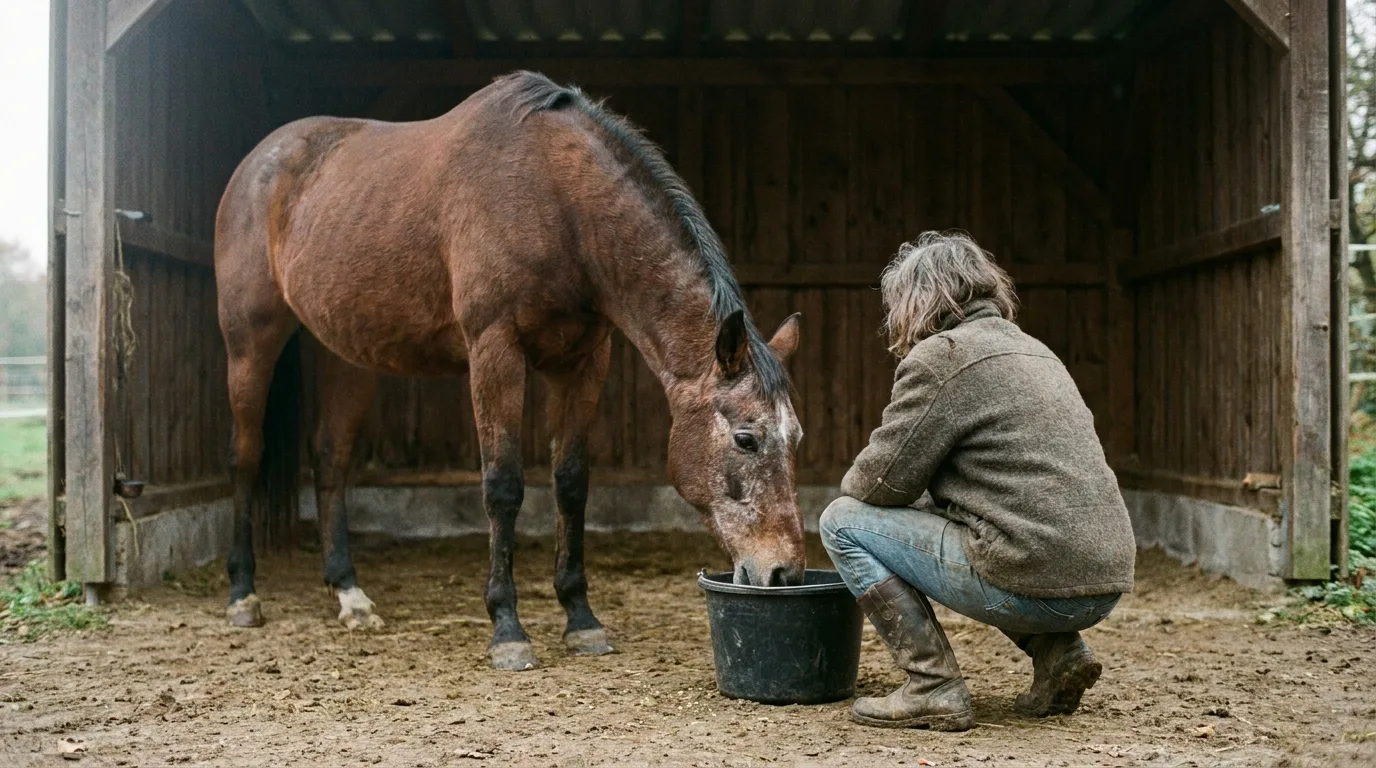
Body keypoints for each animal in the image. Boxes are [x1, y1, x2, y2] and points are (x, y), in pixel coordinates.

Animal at [213, 71, 806, 670]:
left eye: (796, 437)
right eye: (746, 438)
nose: (784, 572)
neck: (558, 202)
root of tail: (258, 164)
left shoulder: (583, 362)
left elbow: (571, 484)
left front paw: (581, 619)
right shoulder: (494, 349)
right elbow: (503, 485)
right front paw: (507, 628)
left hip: (345, 356)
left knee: (330, 460)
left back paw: (350, 596)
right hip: (249, 342)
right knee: (246, 454)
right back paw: (243, 595)